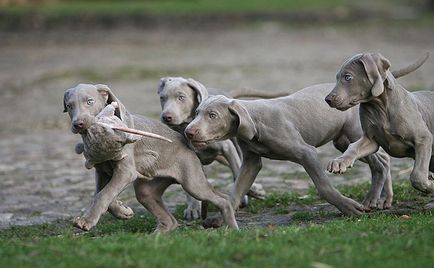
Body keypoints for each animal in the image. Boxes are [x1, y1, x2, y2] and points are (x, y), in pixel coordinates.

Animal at [62, 82, 237, 231]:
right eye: (69, 106)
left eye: (89, 101)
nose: (78, 124)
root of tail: (187, 143)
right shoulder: (102, 170)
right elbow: (101, 193)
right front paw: (122, 211)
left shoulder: (126, 171)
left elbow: (103, 194)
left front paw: (86, 221)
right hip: (147, 190)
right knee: (170, 220)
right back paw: (156, 237)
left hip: (192, 182)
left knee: (222, 199)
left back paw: (232, 227)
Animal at [326, 52, 434, 206]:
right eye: (337, 78)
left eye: (348, 77)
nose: (327, 99)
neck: (380, 106)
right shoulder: (370, 139)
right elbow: (353, 148)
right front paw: (340, 162)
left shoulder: (423, 138)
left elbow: (417, 176)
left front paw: (430, 185)